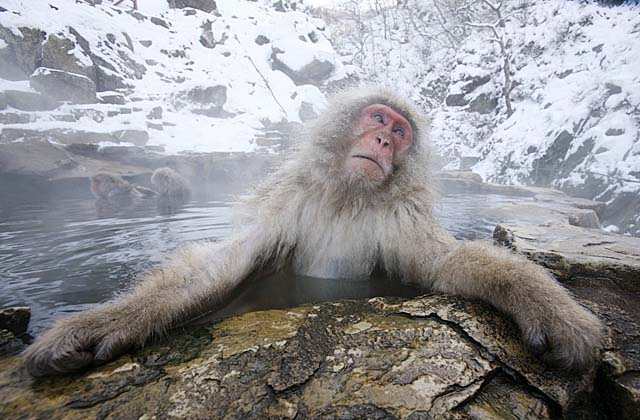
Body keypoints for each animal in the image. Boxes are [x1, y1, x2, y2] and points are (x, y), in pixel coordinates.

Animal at [22, 87, 604, 376]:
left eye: (401, 131)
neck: (348, 195)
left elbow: (442, 263)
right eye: (379, 119)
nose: (385, 141)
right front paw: (100, 323)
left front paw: (549, 308)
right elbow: (227, 264)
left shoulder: (401, 214)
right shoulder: (287, 201)